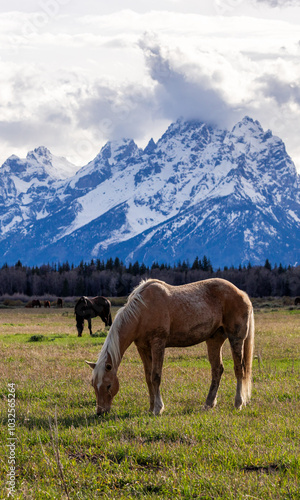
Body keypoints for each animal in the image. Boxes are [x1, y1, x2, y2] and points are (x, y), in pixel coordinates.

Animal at [85, 280, 254, 416]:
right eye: (93, 384)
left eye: (108, 385)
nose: (100, 412)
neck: (142, 311)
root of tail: (242, 294)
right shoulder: (142, 347)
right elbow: (148, 377)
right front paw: (151, 407)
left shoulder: (158, 344)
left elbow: (155, 376)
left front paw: (158, 408)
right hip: (214, 340)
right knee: (217, 370)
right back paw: (208, 404)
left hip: (236, 338)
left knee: (239, 369)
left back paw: (238, 403)